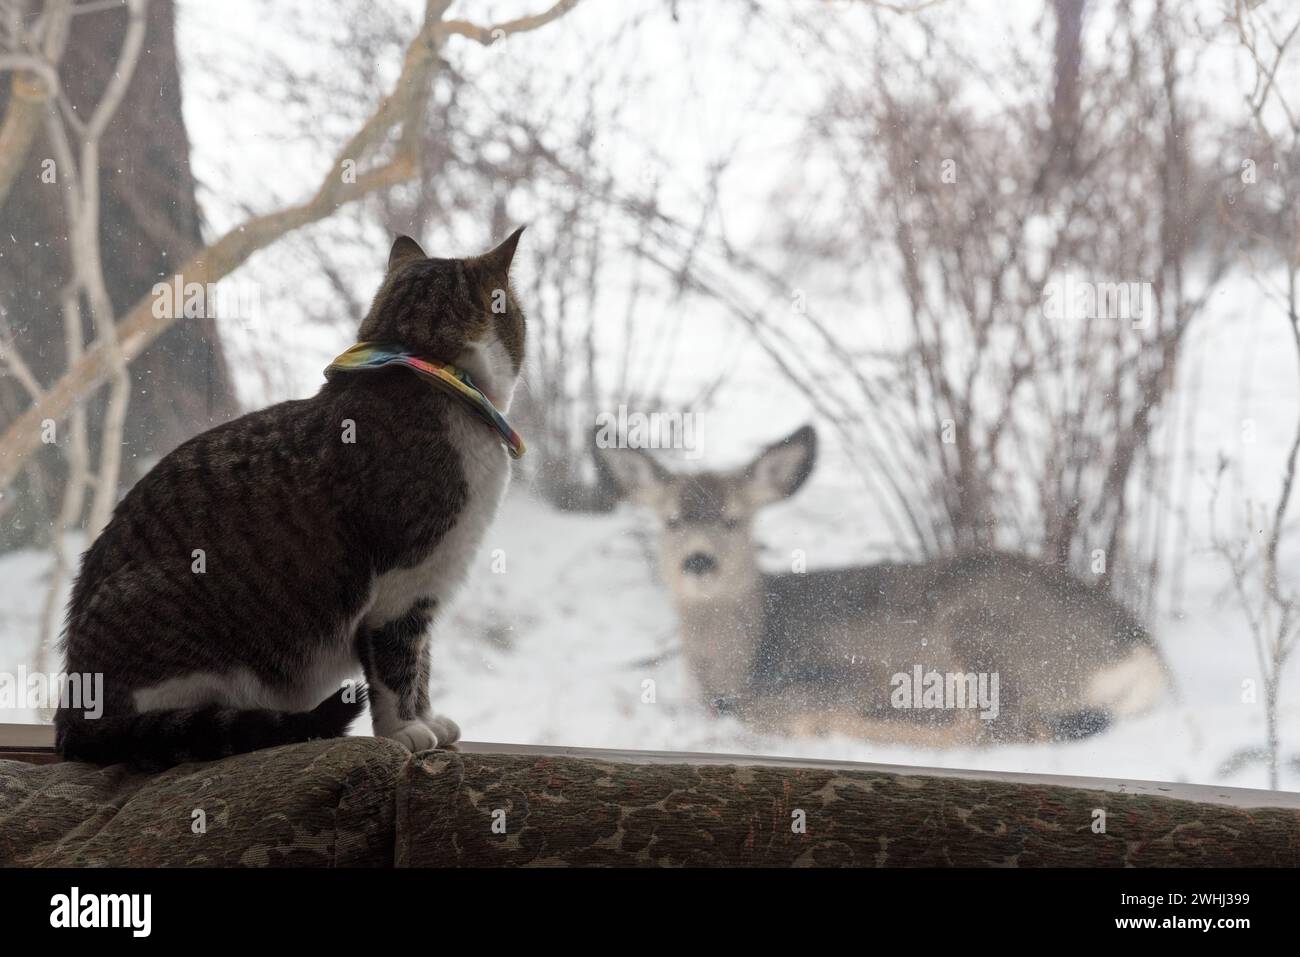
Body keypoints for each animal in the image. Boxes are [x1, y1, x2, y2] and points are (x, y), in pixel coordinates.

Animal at [54, 230, 522, 769]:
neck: (427, 375)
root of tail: (70, 709)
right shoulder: (401, 590)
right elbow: (397, 667)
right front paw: (404, 732)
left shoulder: (427, 591)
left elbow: (421, 665)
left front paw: (429, 721)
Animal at [598, 423, 1170, 748]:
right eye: (671, 520)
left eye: (733, 521)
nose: (699, 561)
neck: (747, 655)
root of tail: (1143, 656)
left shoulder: (848, 673)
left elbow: (768, 709)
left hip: (983, 630)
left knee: (995, 728)